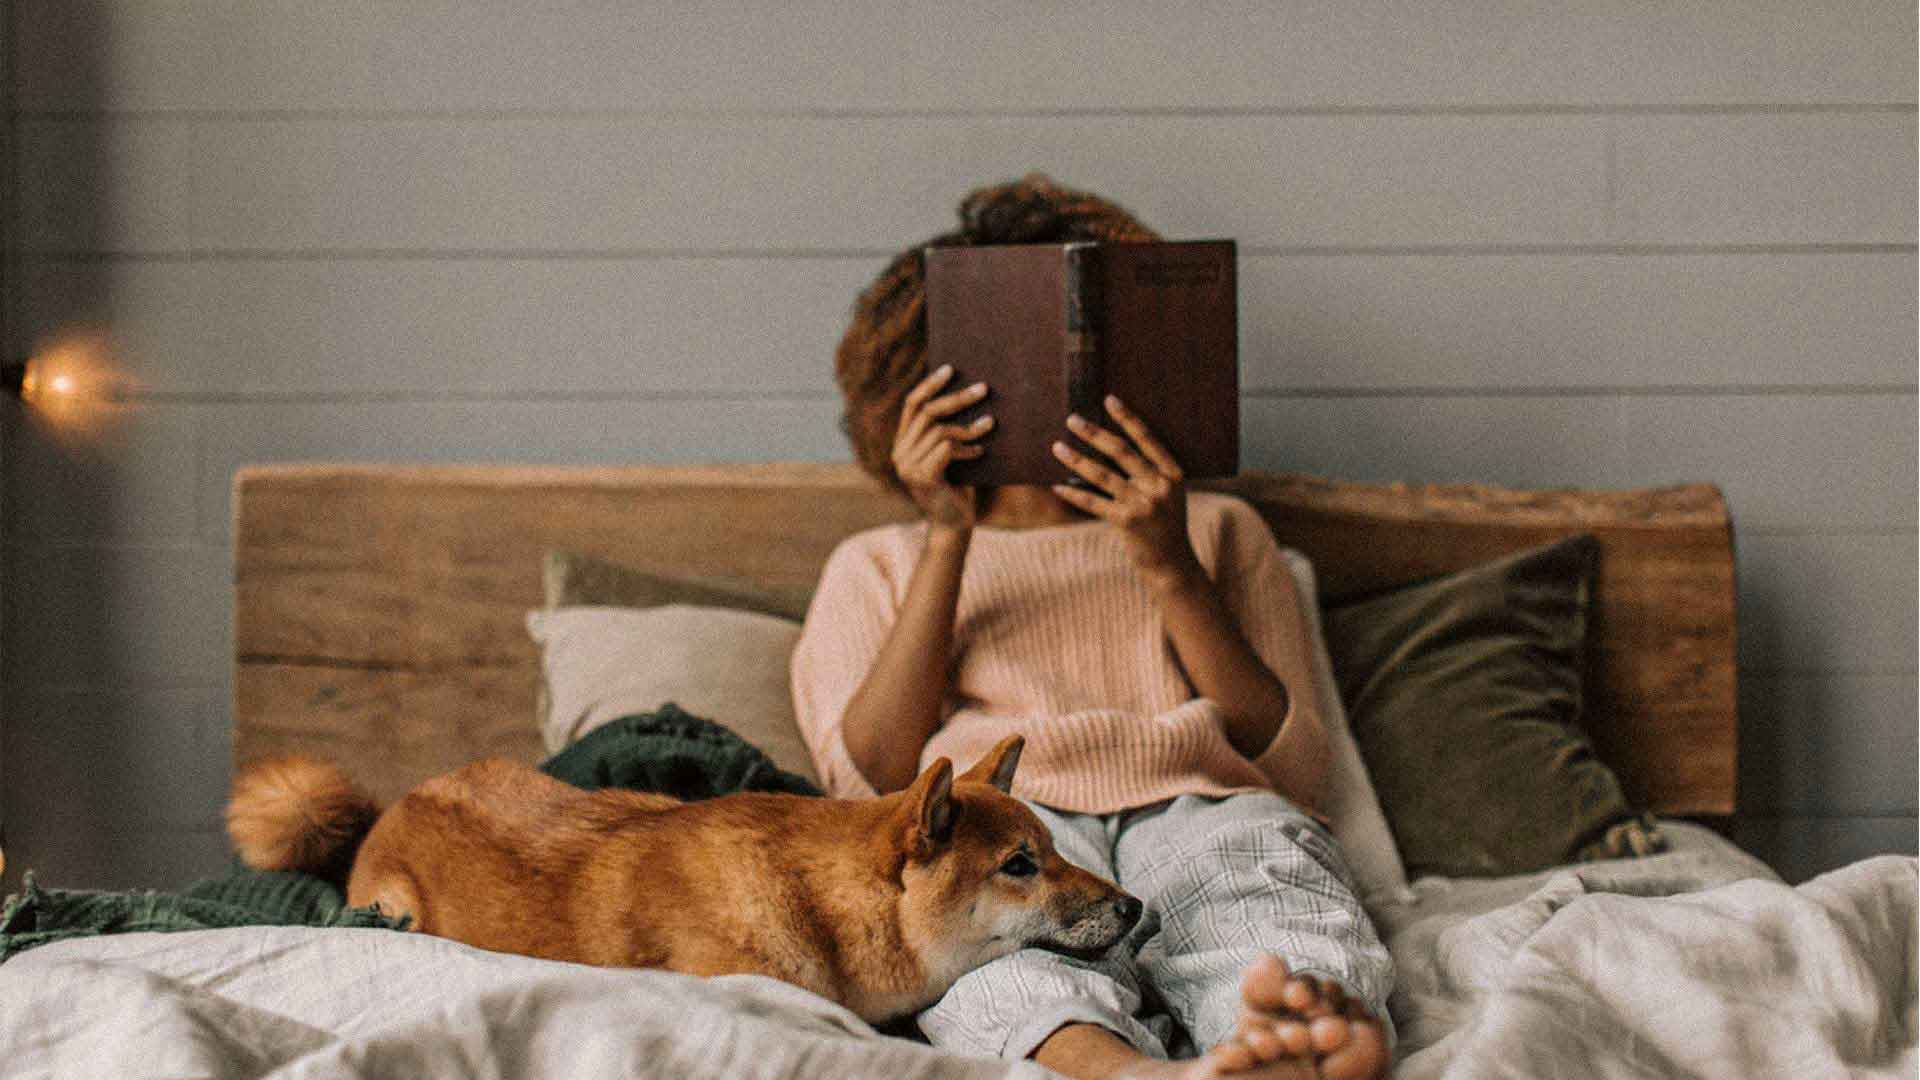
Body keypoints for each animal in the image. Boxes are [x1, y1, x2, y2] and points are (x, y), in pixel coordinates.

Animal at [234, 730, 1144, 1014]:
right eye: (1019, 865)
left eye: (1056, 847)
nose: (1138, 908)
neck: (823, 904)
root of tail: (394, 805)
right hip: (397, 906)